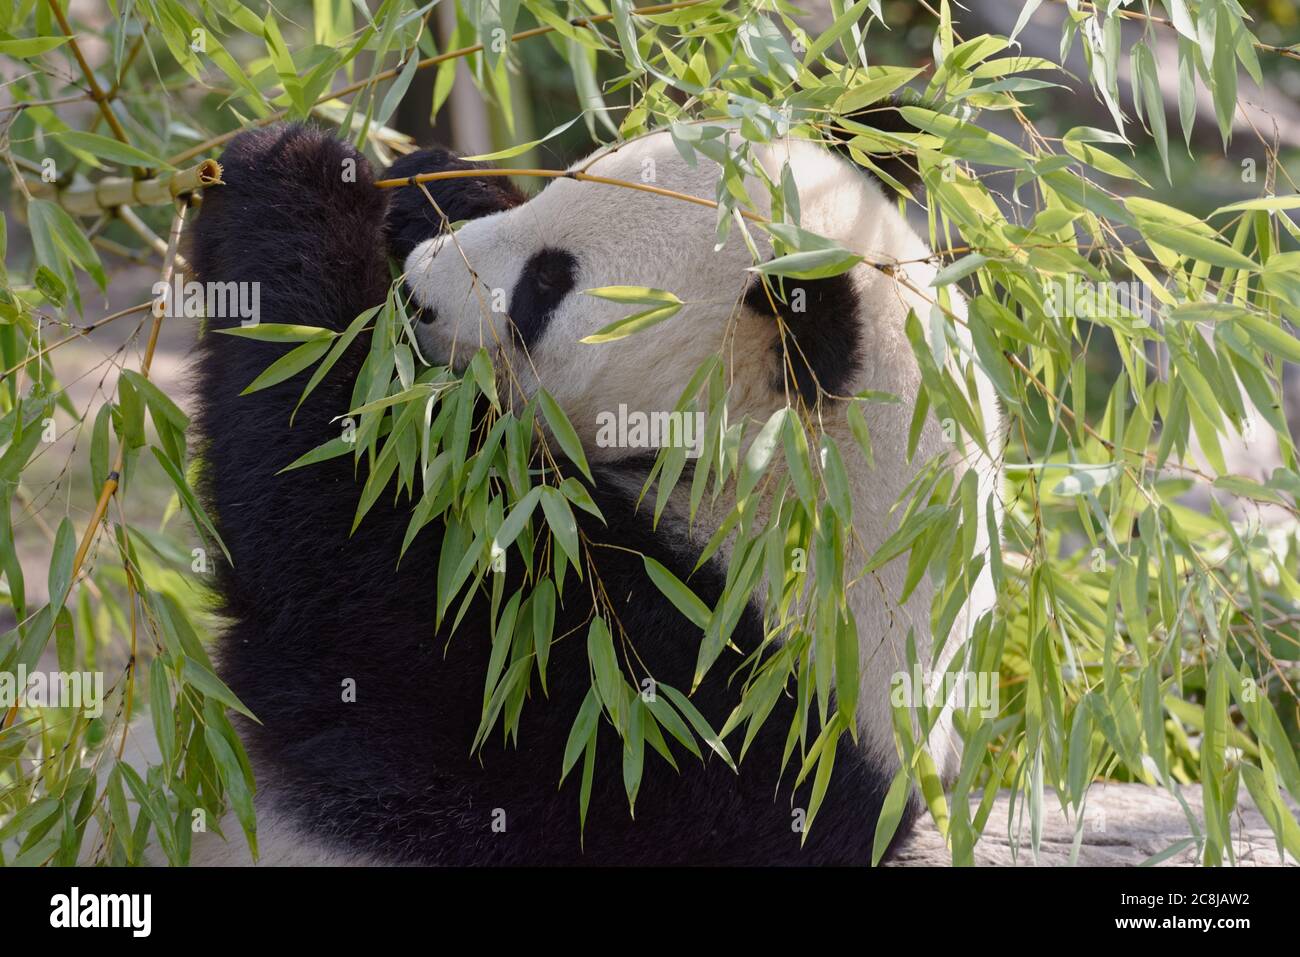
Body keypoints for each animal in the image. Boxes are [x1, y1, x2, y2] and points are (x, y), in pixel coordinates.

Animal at [166, 121, 1002, 865]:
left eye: (548, 282)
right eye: (563, 178)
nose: (420, 289)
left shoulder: (672, 699)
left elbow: (350, 532)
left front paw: (294, 167)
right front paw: (431, 181)